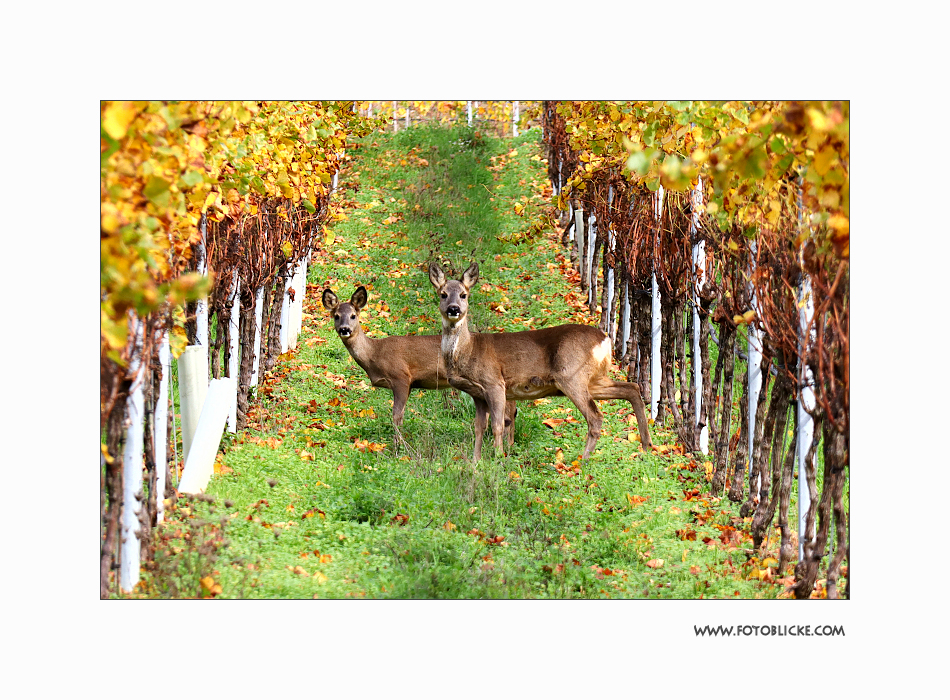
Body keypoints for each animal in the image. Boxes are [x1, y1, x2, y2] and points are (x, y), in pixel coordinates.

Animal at [320, 286, 516, 442]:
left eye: (353, 316)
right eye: (336, 316)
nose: (345, 329)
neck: (375, 354)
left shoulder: (401, 377)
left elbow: (397, 415)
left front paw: (399, 445)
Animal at [432, 260, 656, 462]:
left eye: (464, 294)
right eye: (443, 294)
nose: (454, 309)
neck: (468, 351)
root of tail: (605, 340)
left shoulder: (494, 382)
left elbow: (497, 425)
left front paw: (497, 460)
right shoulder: (477, 394)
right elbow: (479, 427)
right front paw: (475, 463)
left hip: (571, 375)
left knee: (596, 416)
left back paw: (582, 461)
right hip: (595, 378)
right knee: (631, 388)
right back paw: (646, 446)